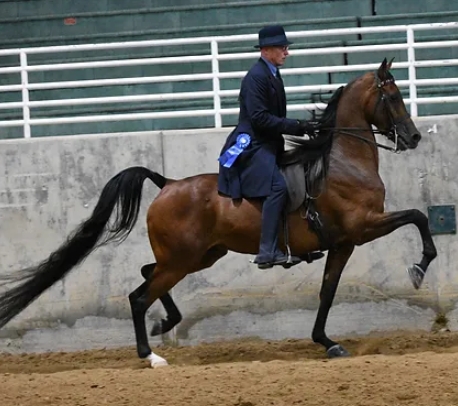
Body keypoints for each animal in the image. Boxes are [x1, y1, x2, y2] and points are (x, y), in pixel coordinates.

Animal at [0, 58, 436, 368]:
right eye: (393, 97)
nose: (414, 137)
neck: (343, 163)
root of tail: (166, 183)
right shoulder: (363, 227)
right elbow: (418, 216)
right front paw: (418, 269)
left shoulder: (344, 243)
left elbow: (327, 292)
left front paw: (326, 343)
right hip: (183, 259)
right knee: (139, 297)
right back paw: (151, 355)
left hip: (199, 256)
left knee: (146, 275)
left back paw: (166, 322)